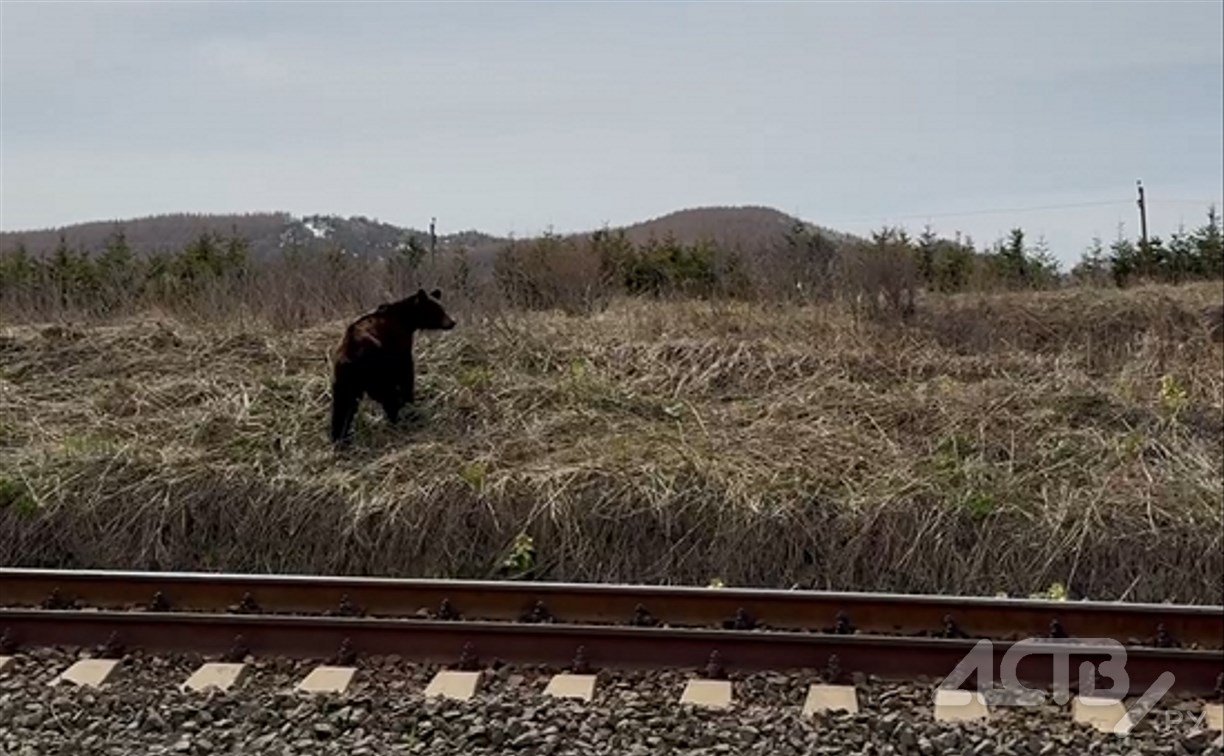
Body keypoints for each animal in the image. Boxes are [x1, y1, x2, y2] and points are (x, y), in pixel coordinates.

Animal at [329, 287, 456, 444]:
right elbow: (405, 372)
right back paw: (401, 417)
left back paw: (340, 438)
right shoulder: (398, 345)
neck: (406, 320)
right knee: (388, 395)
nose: (452, 322)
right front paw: (409, 399)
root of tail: (349, 357)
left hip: (344, 380)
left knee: (342, 406)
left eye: (442, 307)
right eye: (437, 310)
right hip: (374, 370)